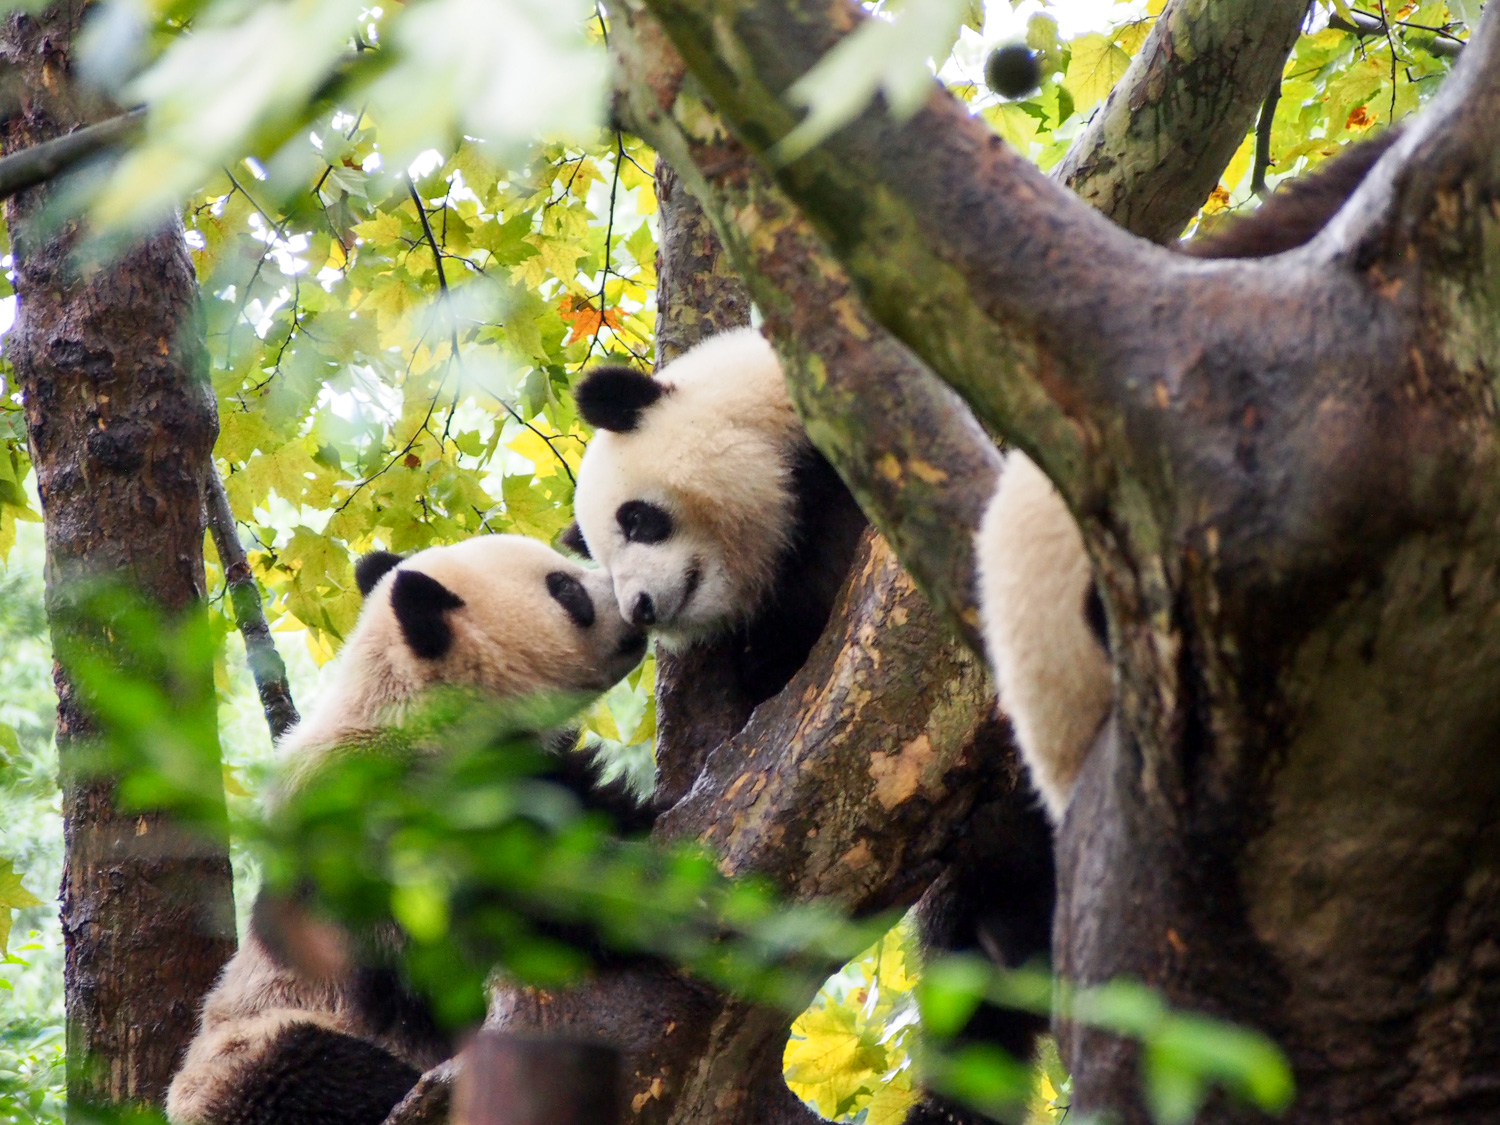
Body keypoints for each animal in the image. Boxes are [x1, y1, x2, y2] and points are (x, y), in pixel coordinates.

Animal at [167, 534, 648, 1125]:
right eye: (565, 589)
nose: (638, 606)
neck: (403, 699)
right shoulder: (379, 816)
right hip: (249, 1053)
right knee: (308, 1071)